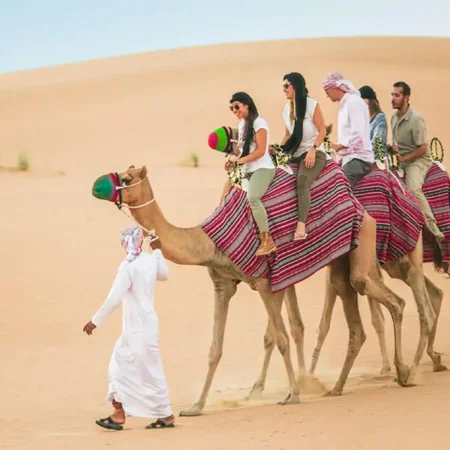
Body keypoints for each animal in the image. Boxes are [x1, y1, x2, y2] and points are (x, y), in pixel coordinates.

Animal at [91, 165, 422, 414]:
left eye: (126, 179)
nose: (97, 186)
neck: (208, 240)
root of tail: (358, 203)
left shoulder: (265, 283)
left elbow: (282, 337)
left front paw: (292, 395)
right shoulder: (223, 284)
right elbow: (215, 348)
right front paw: (196, 406)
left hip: (363, 241)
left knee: (389, 298)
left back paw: (404, 372)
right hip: (341, 260)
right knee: (360, 313)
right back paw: (345, 386)